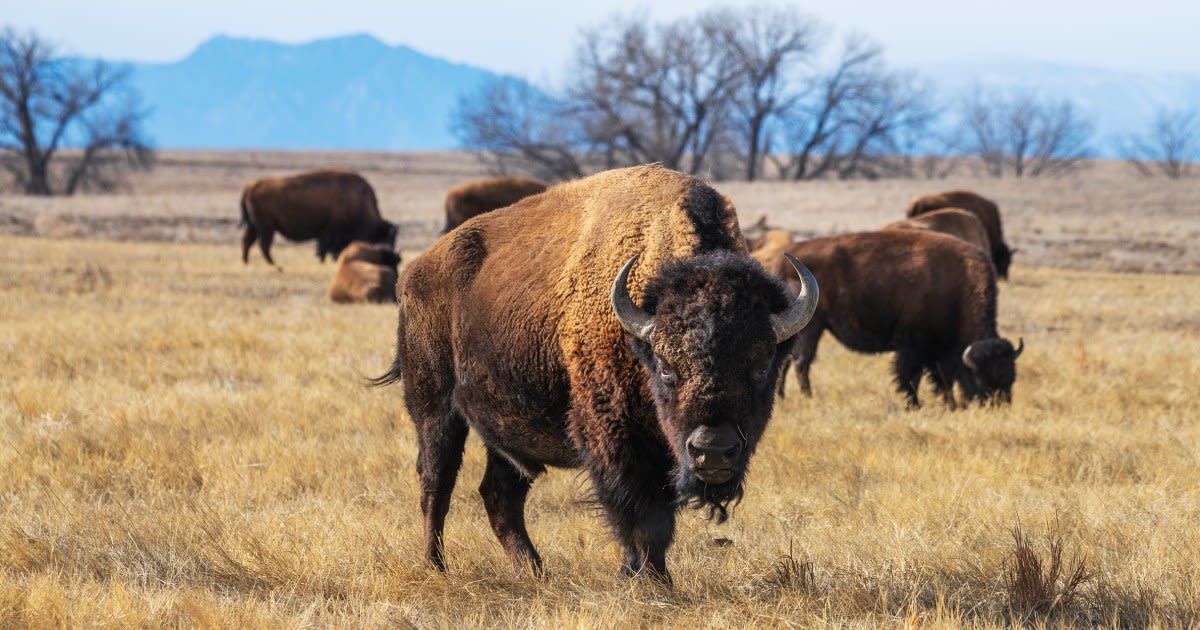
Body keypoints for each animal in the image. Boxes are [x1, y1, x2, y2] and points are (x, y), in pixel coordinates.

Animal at [238, 168, 398, 264]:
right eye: (384, 238)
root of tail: (250, 186)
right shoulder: (329, 232)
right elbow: (323, 249)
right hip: (266, 227)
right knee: (263, 244)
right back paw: (275, 265)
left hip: (254, 226)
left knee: (247, 241)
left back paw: (248, 263)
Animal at [374, 163, 820, 580]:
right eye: (666, 368)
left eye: (761, 367)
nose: (712, 450)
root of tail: (415, 273)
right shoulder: (613, 435)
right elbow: (641, 514)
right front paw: (647, 578)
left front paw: (648, 575)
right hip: (434, 407)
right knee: (436, 481)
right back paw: (436, 566)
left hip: (505, 427)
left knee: (500, 493)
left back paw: (533, 570)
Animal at [772, 228, 1027, 405]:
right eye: (981, 378)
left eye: (1012, 377)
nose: (997, 406)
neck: (957, 288)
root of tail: (781, 262)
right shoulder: (913, 346)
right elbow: (910, 376)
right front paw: (915, 405)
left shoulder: (939, 350)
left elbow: (941, 378)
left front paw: (949, 404)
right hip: (812, 327)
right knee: (802, 362)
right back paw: (807, 396)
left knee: (789, 362)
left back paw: (782, 396)